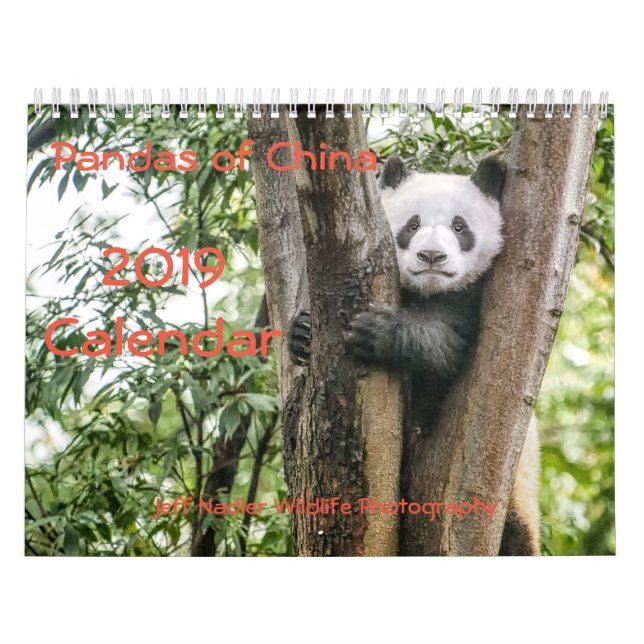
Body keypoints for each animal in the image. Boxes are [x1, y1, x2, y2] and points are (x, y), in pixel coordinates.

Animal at [288, 156, 540, 556]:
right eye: (412, 224)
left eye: (459, 226)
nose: (432, 256)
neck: (427, 289)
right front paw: (301, 333)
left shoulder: (473, 298)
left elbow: (445, 343)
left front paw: (376, 332)